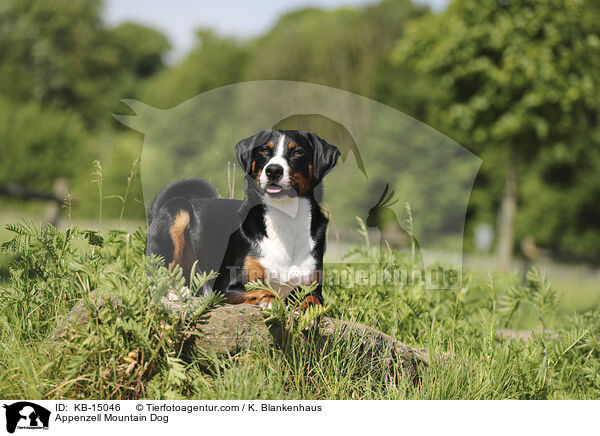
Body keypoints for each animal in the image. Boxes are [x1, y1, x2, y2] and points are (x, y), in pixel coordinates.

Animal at [145, 129, 340, 310]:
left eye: (298, 152)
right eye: (264, 150)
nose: (273, 170)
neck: (285, 219)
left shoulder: (312, 286)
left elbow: (313, 301)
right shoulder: (226, 287)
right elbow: (263, 290)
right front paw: (272, 301)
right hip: (179, 211)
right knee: (157, 276)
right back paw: (175, 292)